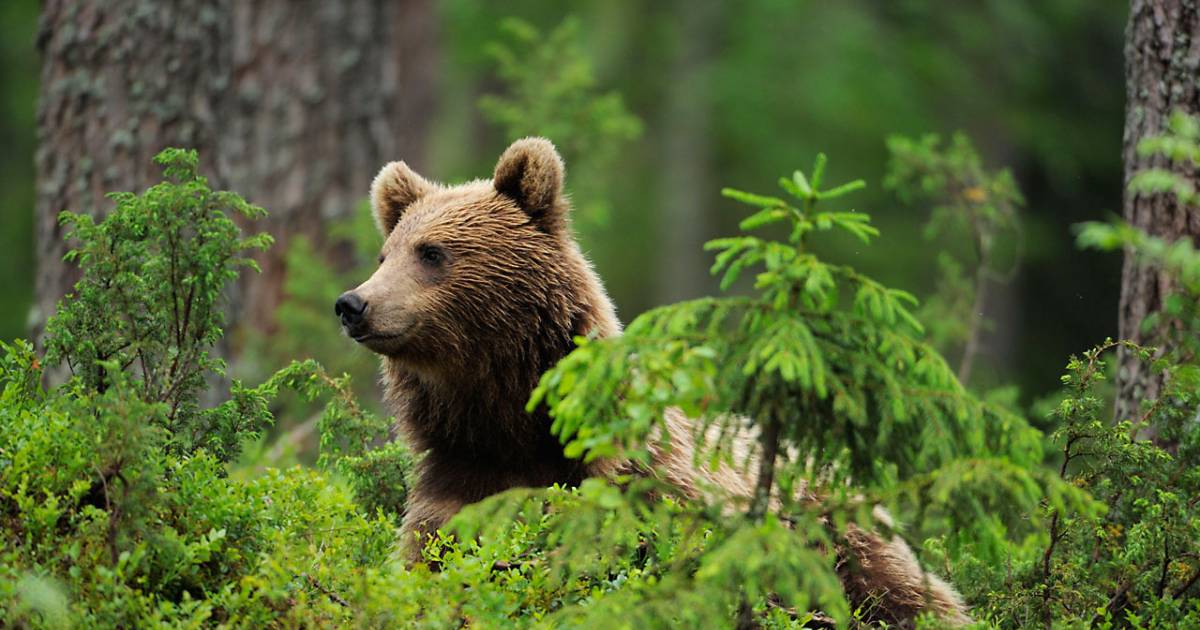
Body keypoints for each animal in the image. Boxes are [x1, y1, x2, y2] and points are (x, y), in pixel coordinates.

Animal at [333, 136, 969, 624]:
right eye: (386, 254)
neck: (513, 420)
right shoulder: (457, 487)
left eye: (432, 252)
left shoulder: (643, 488)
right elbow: (435, 566)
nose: (353, 304)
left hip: (837, 533)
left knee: (908, 593)